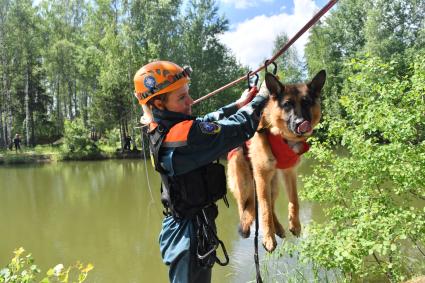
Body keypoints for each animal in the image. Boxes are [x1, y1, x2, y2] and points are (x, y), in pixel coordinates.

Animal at [229, 70, 324, 253]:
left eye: (307, 102)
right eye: (287, 104)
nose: (301, 123)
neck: (282, 136)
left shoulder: (289, 172)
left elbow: (294, 201)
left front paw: (295, 224)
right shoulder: (261, 175)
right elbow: (264, 210)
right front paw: (268, 237)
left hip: (273, 185)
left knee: (270, 205)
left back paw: (278, 228)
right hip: (245, 181)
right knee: (246, 206)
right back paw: (247, 223)